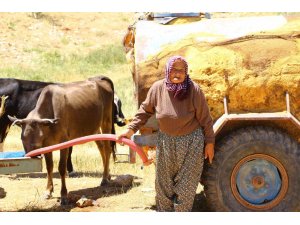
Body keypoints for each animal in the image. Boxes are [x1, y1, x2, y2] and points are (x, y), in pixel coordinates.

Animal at [7, 76, 116, 205]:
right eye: (22, 137)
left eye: (39, 136)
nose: (33, 155)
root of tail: (99, 79)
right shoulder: (47, 145)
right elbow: (49, 167)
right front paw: (48, 191)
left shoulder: (64, 143)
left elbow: (62, 168)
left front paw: (63, 195)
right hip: (94, 129)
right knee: (101, 148)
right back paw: (108, 174)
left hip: (106, 121)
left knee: (107, 149)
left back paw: (104, 178)